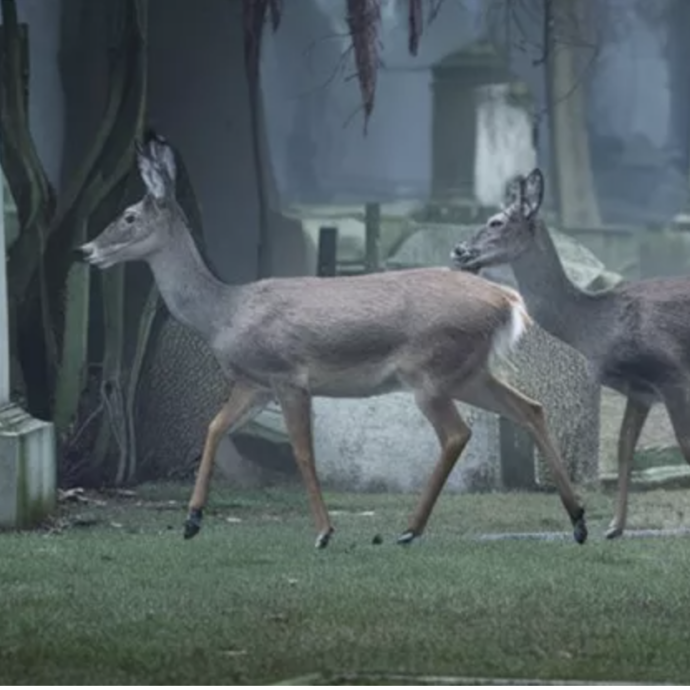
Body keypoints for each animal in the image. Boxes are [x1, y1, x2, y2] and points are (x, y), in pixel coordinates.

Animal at [76, 130, 584, 548]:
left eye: (128, 215)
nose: (85, 250)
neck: (224, 314)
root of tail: (509, 302)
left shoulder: (287, 376)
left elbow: (303, 451)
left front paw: (323, 532)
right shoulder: (254, 384)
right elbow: (215, 426)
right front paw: (191, 520)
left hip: (432, 370)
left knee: (458, 433)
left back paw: (409, 528)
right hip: (470, 371)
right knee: (530, 408)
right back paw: (577, 519)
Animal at [454, 167, 688, 536]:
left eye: (496, 222)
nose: (459, 250)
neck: (597, 326)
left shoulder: (672, 373)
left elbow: (684, 444)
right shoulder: (640, 389)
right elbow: (624, 447)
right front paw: (614, 527)